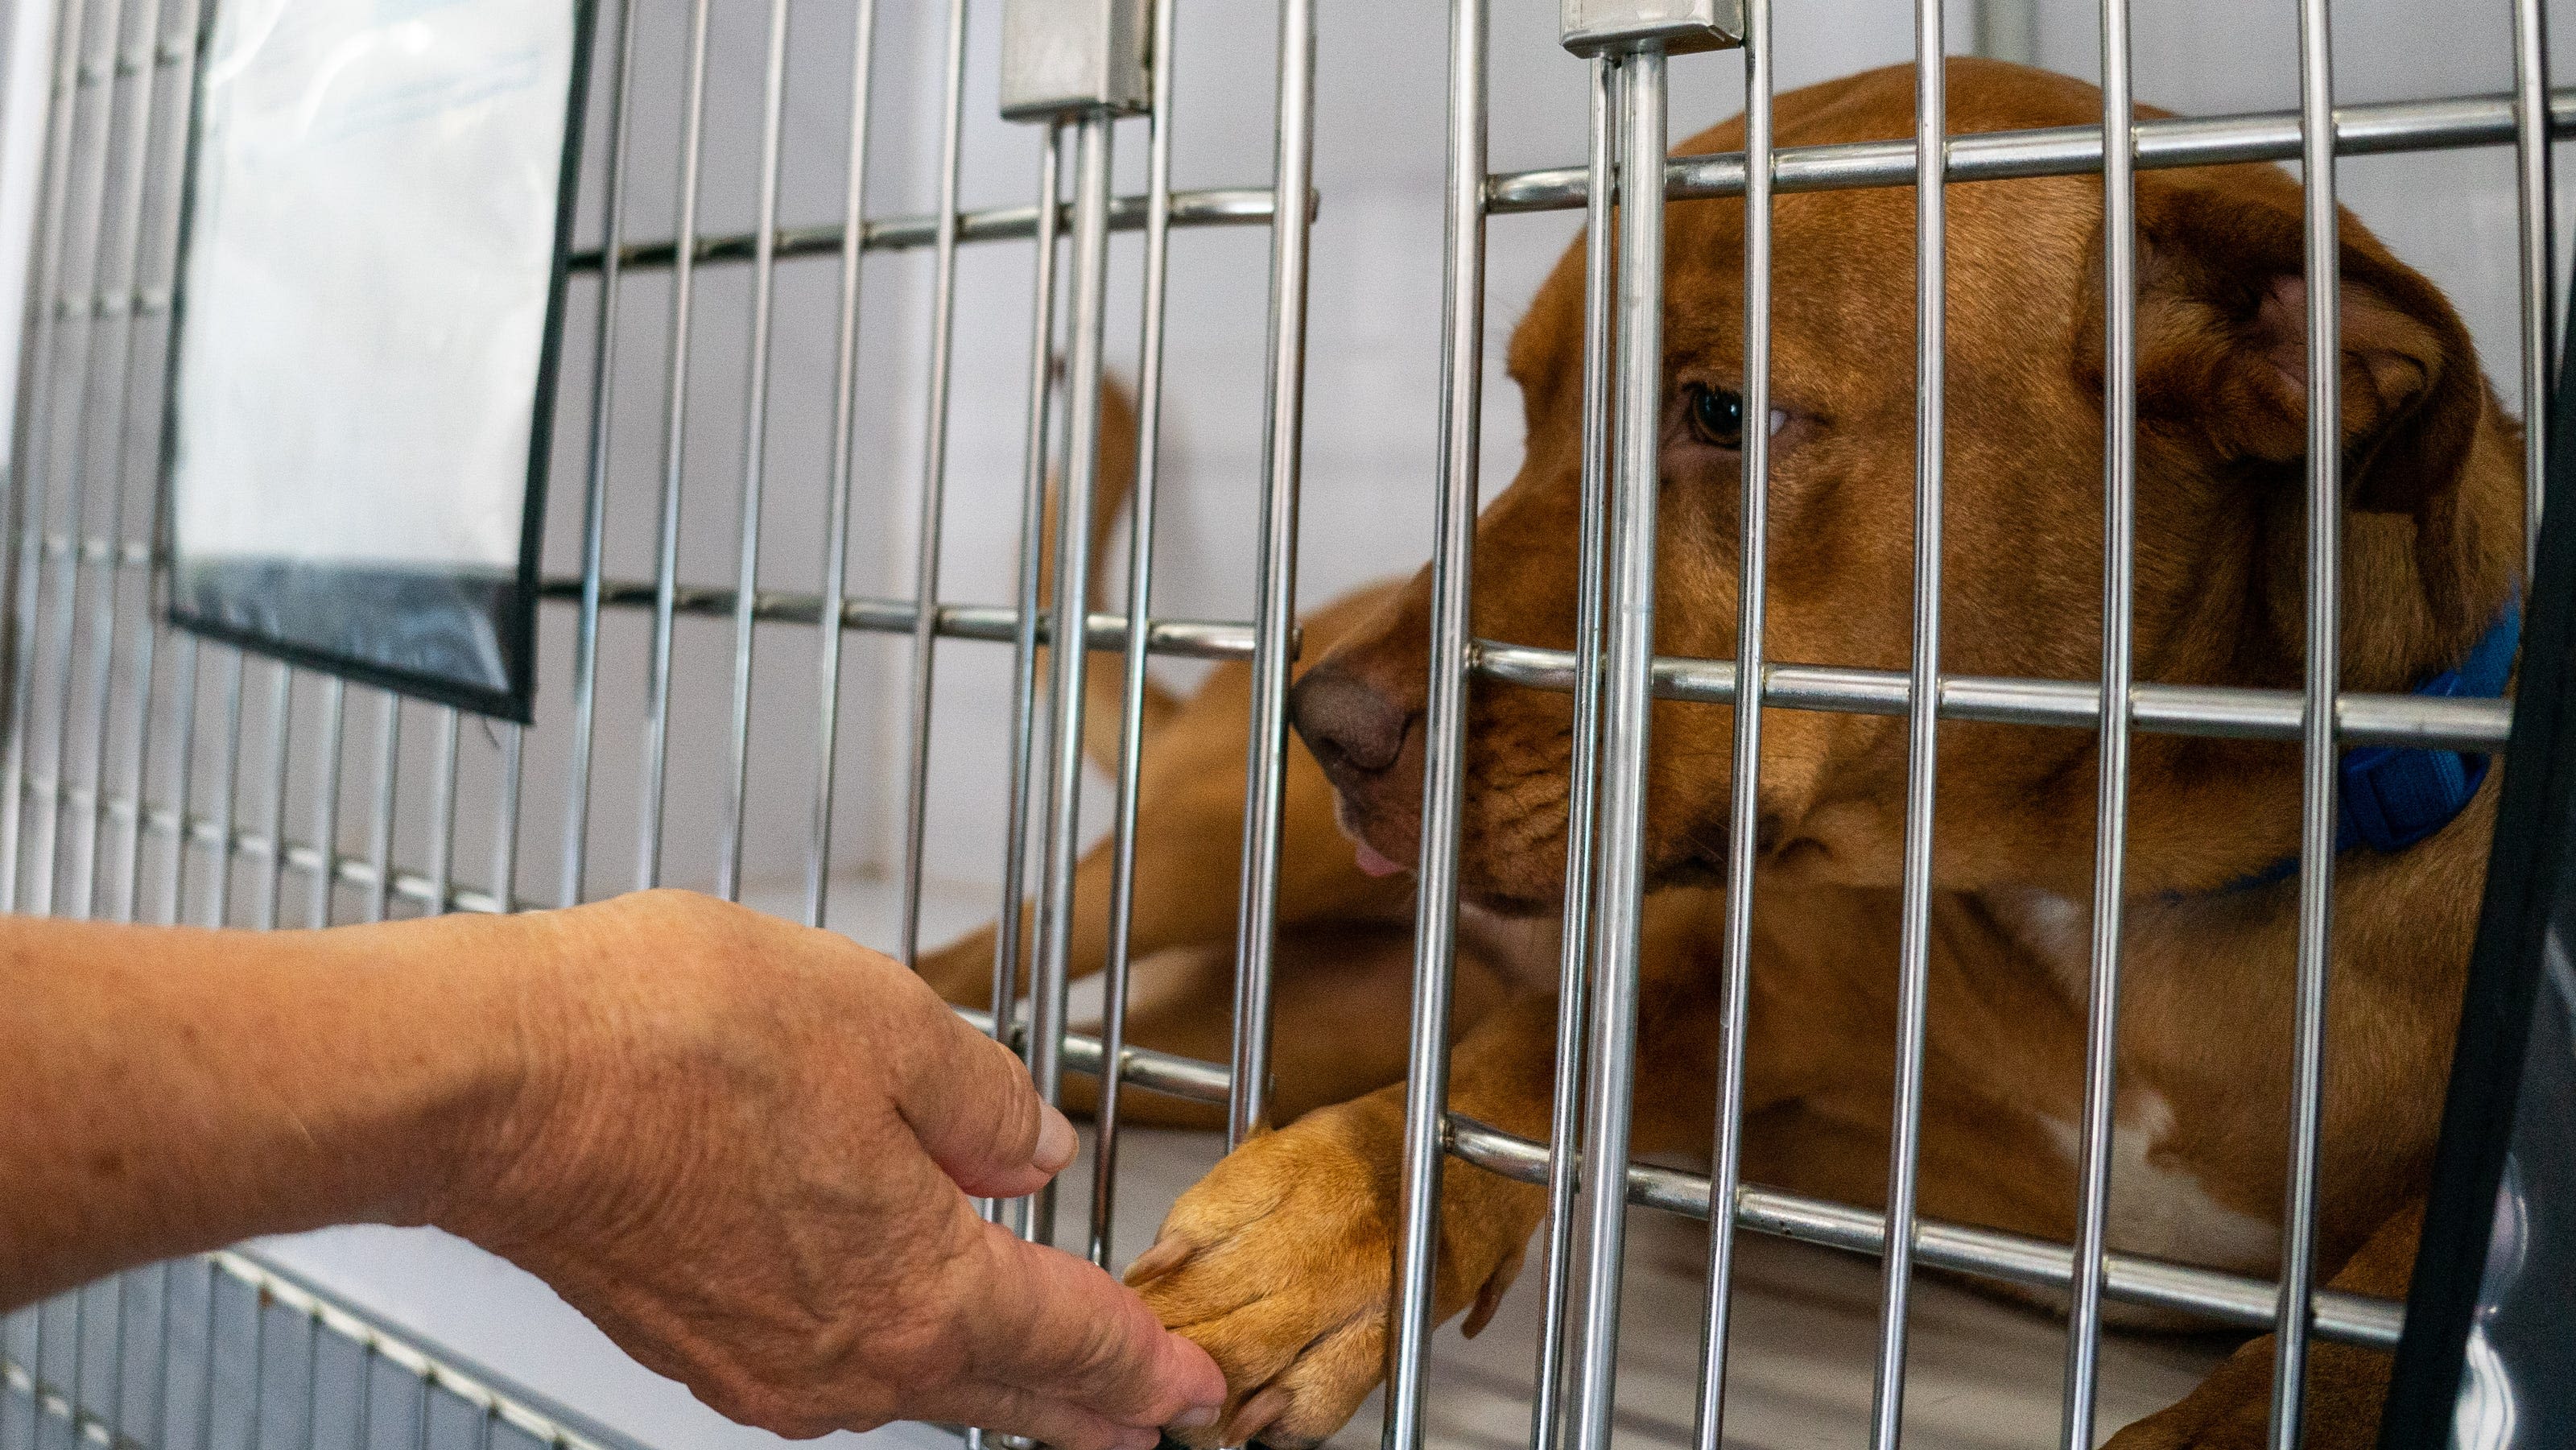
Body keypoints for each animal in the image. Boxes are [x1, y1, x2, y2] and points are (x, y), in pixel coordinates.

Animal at [922, 59, 2514, 1450]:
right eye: (1527, 407)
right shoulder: (1703, 970)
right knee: (966, 972)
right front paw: (1331, 1231)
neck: (2117, 887)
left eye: (1725, 413)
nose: (1326, 723)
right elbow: (1525, 1062)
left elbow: (2378, 1314)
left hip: (1249, 1031)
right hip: (1189, 858)